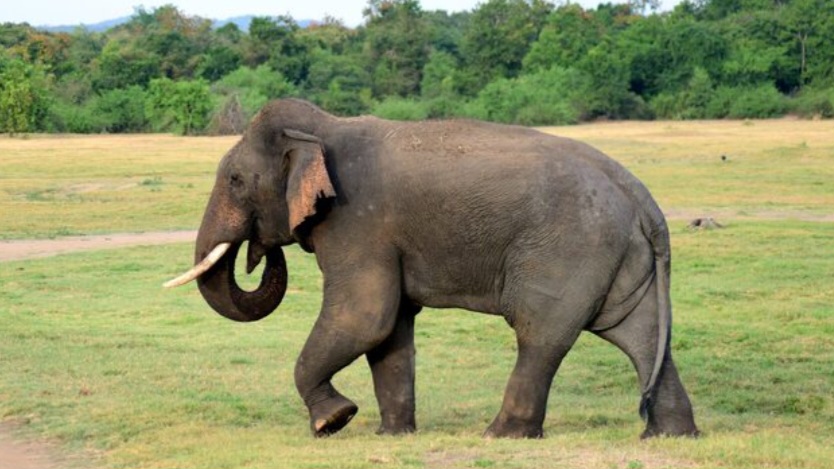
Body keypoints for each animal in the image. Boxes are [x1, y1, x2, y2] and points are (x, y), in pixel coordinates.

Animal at [165, 99, 699, 439]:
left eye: (236, 180)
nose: (258, 250)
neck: (324, 127)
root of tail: (643, 198)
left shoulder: (358, 222)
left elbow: (364, 316)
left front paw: (333, 422)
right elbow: (390, 329)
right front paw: (392, 434)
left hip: (568, 250)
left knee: (540, 334)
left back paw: (500, 436)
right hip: (619, 256)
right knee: (642, 335)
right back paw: (669, 436)